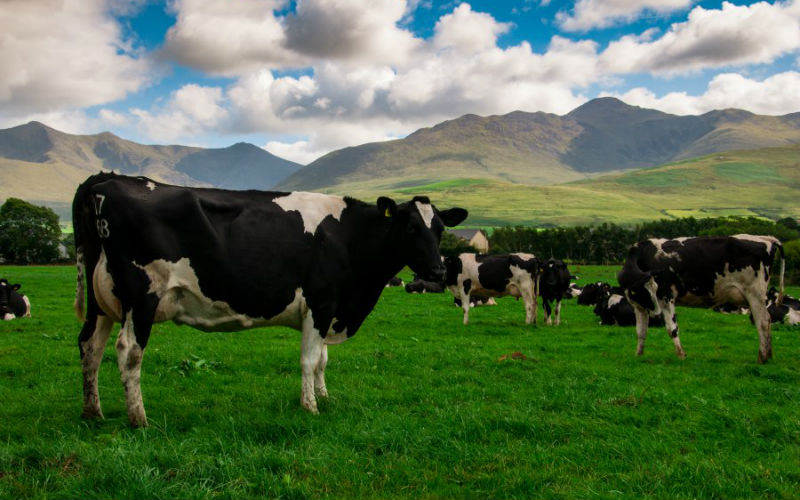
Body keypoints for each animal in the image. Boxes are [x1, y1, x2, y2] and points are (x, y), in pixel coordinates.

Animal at [73, 174, 468, 428]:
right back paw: (138, 419)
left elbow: (323, 360)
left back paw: (93, 412)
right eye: (411, 228)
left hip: (103, 302)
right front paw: (310, 407)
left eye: (439, 230)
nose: (437, 270)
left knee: (90, 346)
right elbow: (310, 360)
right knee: (128, 351)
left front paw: (325, 398)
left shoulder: (329, 309)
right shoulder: (320, 303)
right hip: (141, 296)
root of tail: (105, 181)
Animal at [616, 234, 784, 364]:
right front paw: (638, 354)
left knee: (762, 322)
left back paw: (762, 357)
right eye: (643, 291)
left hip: (754, 295)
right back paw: (769, 355)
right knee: (768, 320)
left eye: (655, 288)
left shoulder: (666, 296)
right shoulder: (639, 307)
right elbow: (641, 331)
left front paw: (681, 355)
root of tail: (766, 238)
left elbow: (672, 329)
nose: (657, 315)